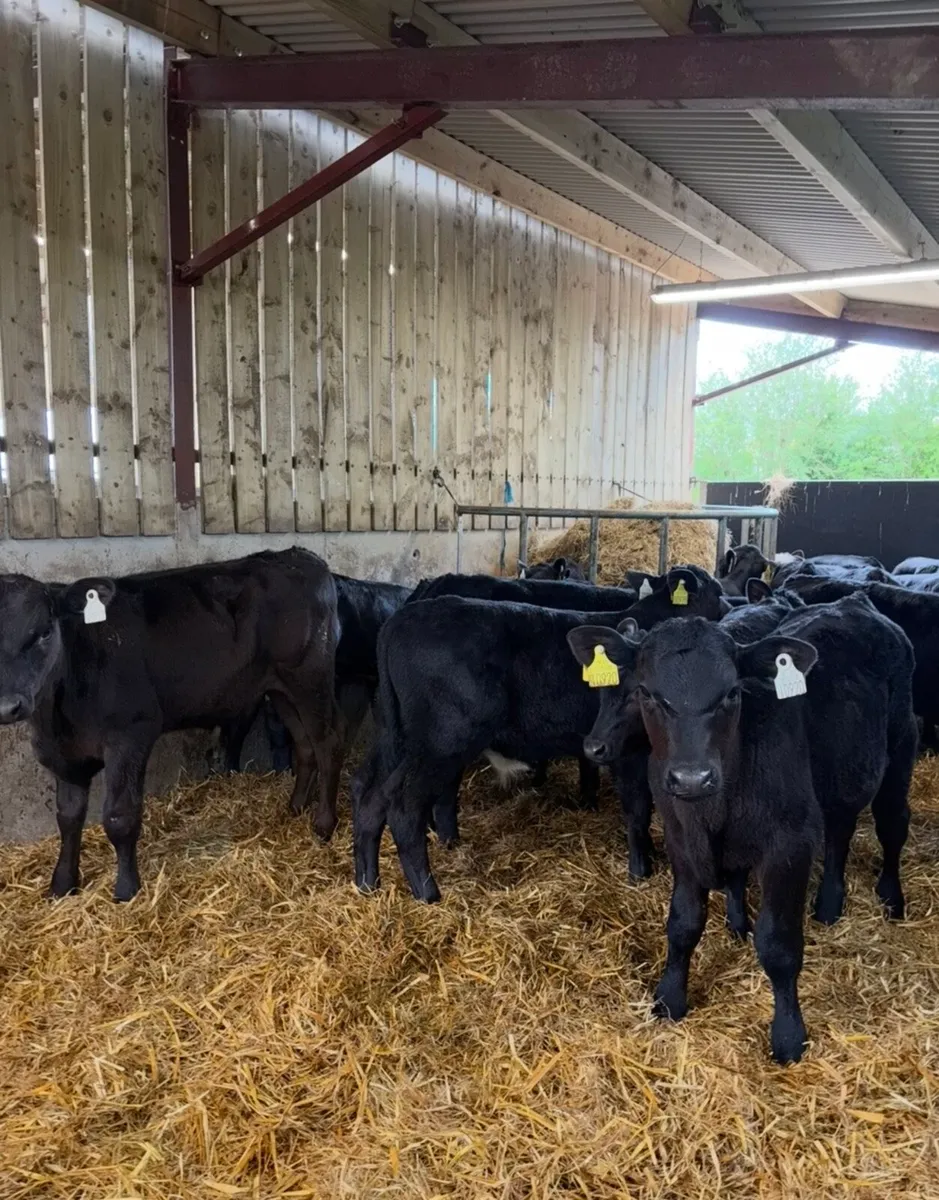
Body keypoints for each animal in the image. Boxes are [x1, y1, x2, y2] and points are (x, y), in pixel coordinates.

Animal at [0, 549, 344, 902]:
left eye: (44, 632)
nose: (7, 706)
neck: (58, 719)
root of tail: (298, 555)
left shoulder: (130, 735)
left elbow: (120, 816)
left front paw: (127, 889)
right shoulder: (63, 754)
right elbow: (68, 817)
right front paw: (62, 884)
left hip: (309, 679)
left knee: (328, 744)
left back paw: (323, 825)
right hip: (279, 689)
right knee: (305, 745)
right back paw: (294, 808)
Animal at [570, 598, 916, 1064]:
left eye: (732, 694)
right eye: (646, 693)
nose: (692, 777)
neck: (715, 809)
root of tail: (854, 602)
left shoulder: (788, 846)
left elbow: (778, 945)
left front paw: (788, 1036)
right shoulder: (680, 839)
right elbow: (683, 923)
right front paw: (669, 998)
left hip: (901, 745)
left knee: (892, 825)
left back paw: (892, 900)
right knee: (840, 832)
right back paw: (828, 905)